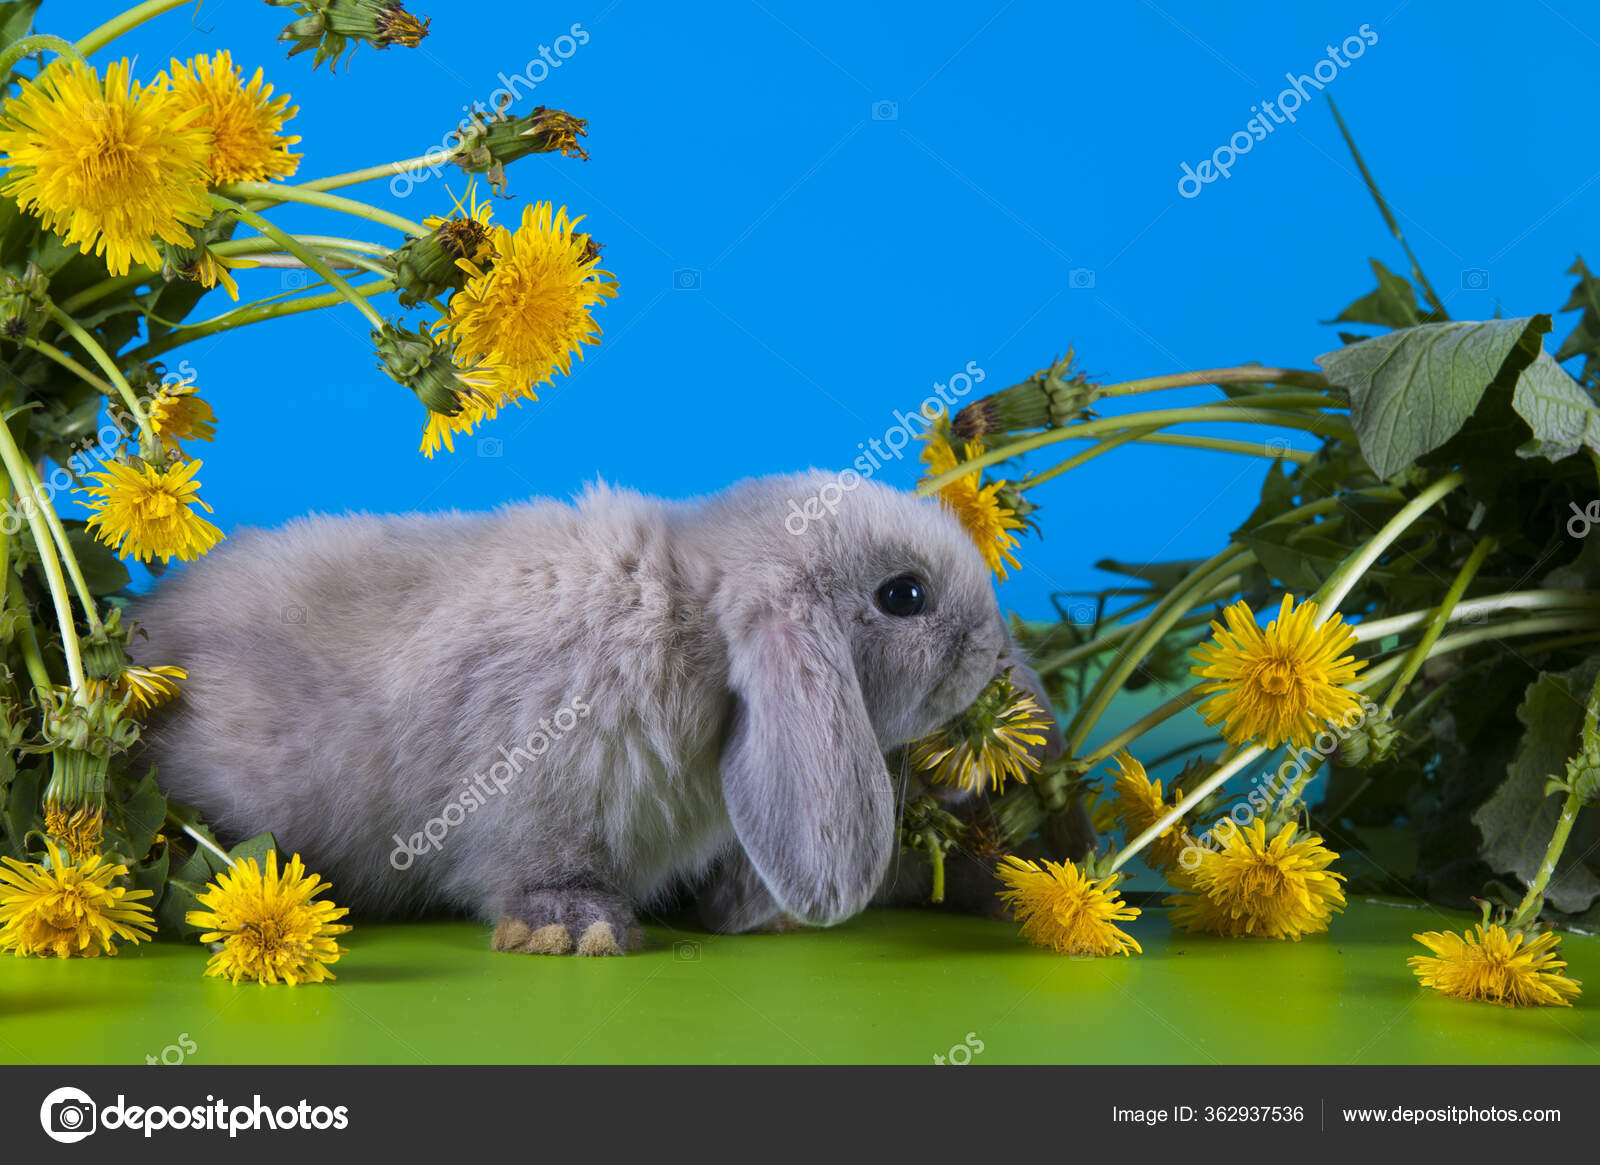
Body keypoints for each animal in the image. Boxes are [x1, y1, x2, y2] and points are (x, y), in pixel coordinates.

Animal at [127, 470, 1020, 956]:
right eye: (904, 595)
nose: (991, 645)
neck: (690, 619)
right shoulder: (536, 800)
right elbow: (538, 869)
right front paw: (576, 929)